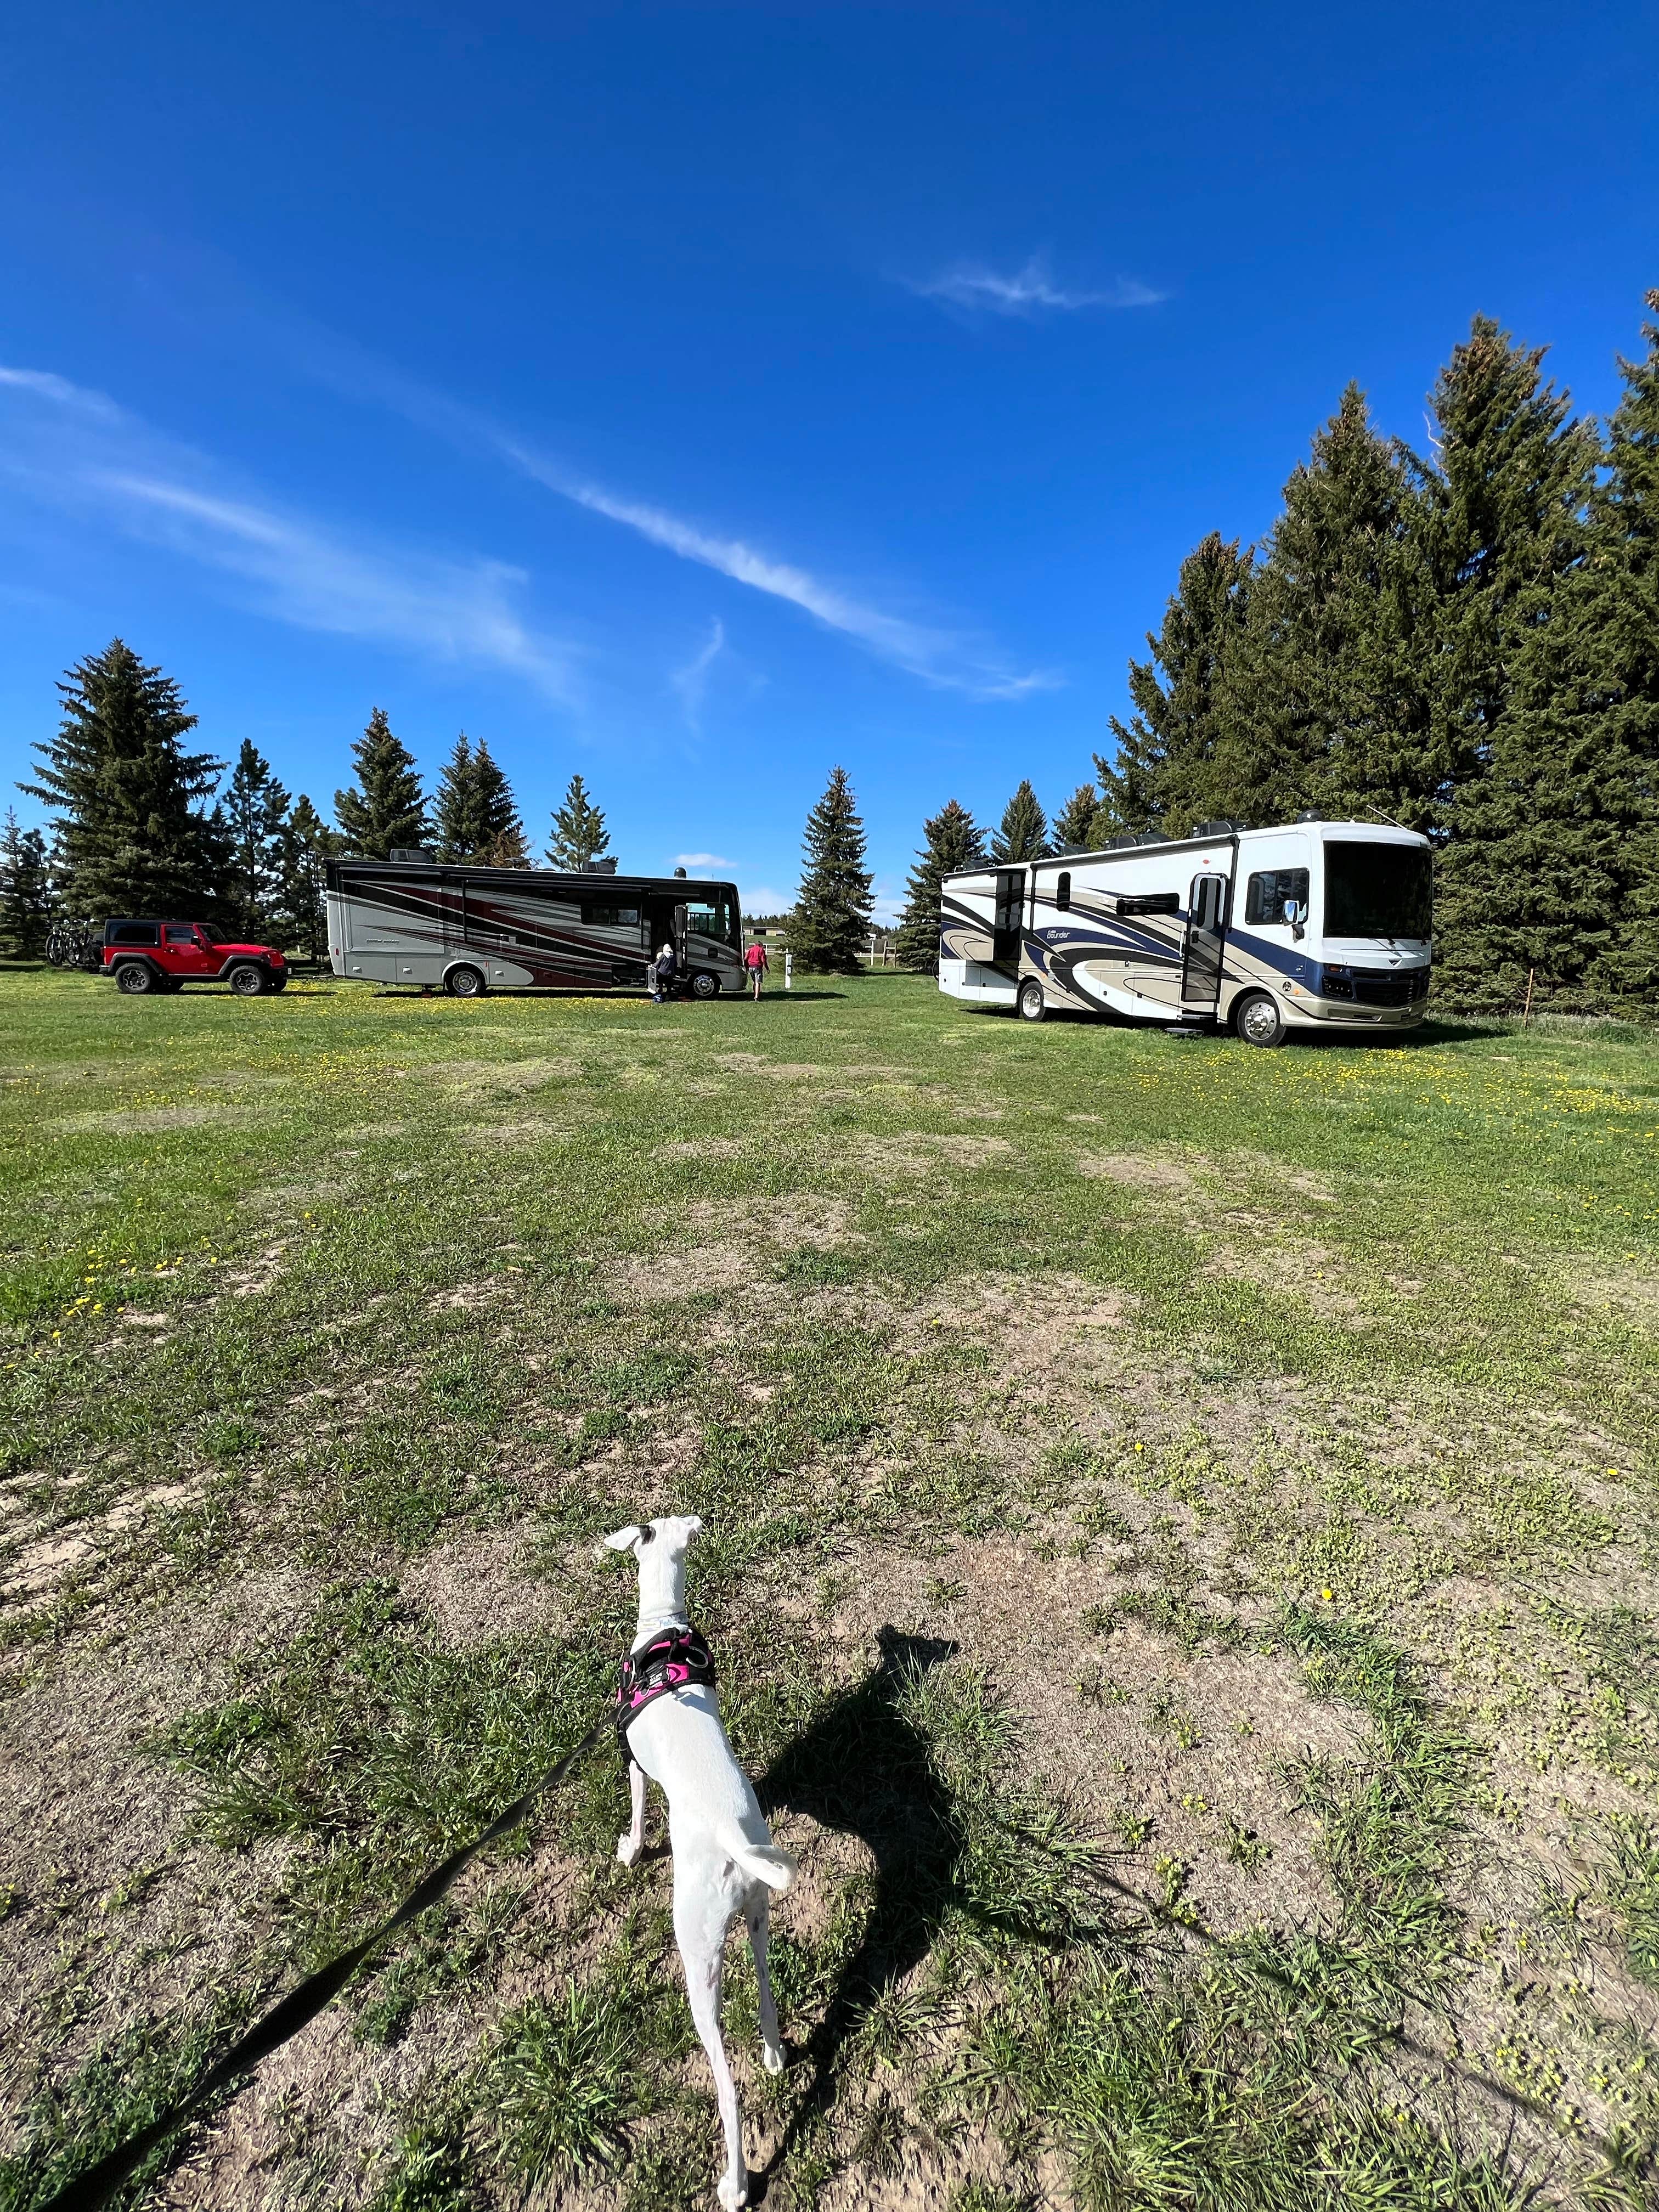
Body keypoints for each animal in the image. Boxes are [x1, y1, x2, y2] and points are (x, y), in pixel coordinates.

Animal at [606, 1513, 800, 2203]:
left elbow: (637, 1812)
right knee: (767, 1993)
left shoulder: (634, 1765)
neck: (663, 1630)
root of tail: (733, 1846)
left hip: (698, 1962)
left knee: (727, 2089)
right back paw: (774, 2053)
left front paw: (631, 1850)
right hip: (760, 1918)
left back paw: (736, 2183)